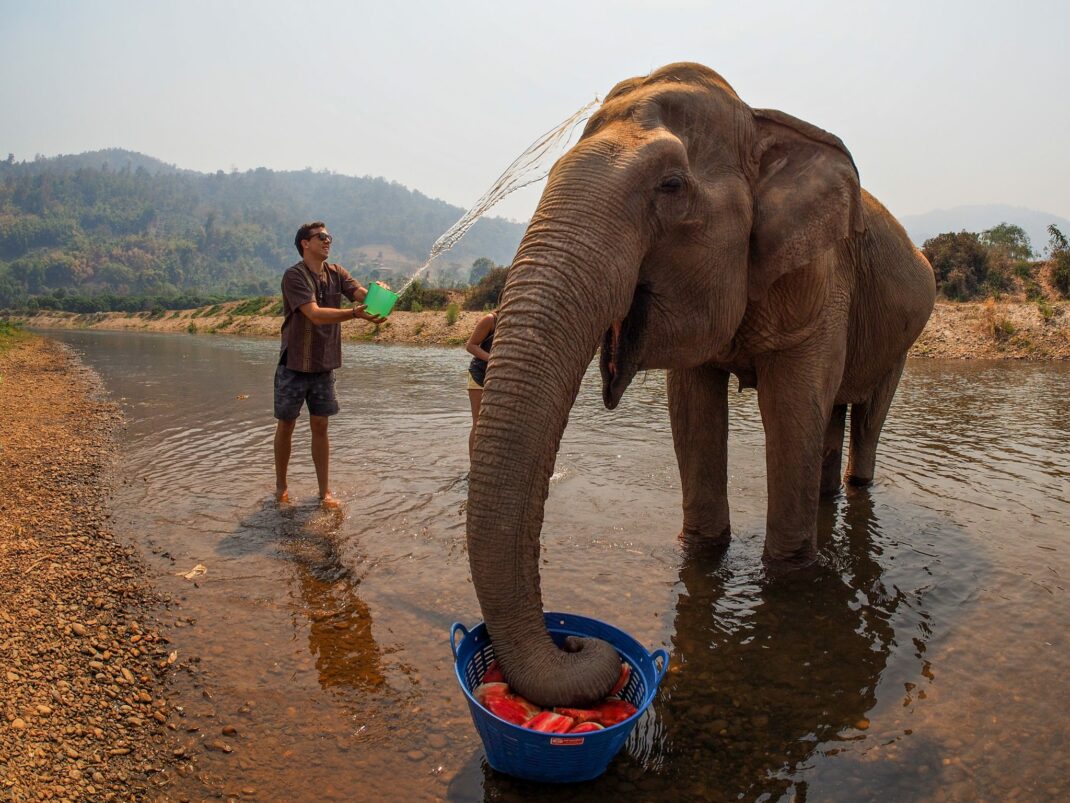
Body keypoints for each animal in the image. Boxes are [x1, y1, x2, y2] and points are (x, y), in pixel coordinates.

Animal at [466, 63, 936, 708]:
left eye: (670, 185)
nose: (577, 640)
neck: (758, 123)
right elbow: (691, 411)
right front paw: (703, 555)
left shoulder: (820, 278)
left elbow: (791, 409)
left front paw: (789, 580)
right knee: (833, 416)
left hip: (906, 335)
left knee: (866, 417)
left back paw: (853, 486)